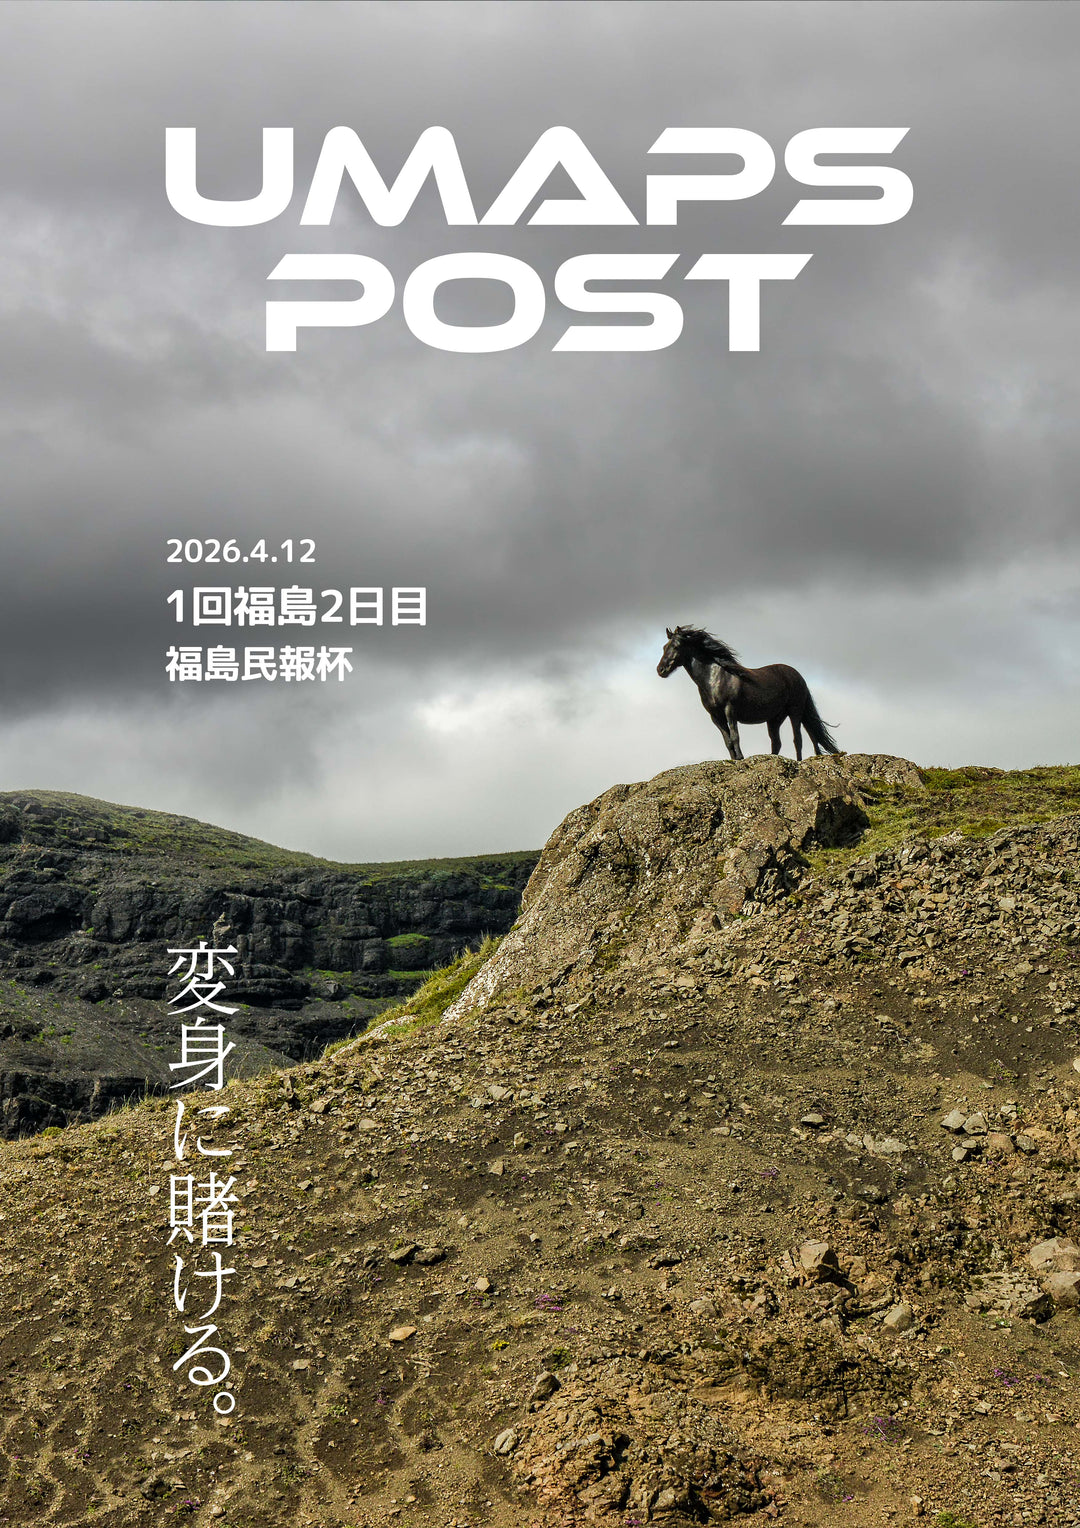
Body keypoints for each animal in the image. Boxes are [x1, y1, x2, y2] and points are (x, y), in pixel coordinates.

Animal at [656, 625, 840, 762]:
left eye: (676, 646)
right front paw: (734, 759)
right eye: (664, 647)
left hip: (795, 711)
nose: (661, 670)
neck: (714, 678)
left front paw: (741, 757)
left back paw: (800, 761)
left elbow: (735, 736)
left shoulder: (730, 710)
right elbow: (727, 740)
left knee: (799, 739)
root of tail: (798, 675)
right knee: (779, 742)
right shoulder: (715, 716)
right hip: (774, 719)